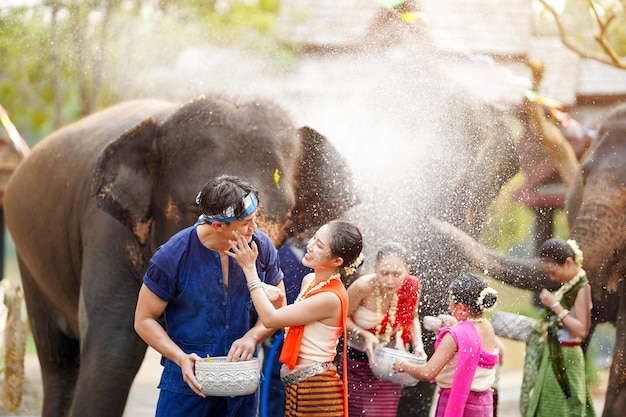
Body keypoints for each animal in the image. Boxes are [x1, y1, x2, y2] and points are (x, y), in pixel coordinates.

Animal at [2, 94, 358, 416]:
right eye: (193, 209)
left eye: (284, 216)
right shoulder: (106, 231)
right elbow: (115, 349)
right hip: (29, 255)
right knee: (60, 360)